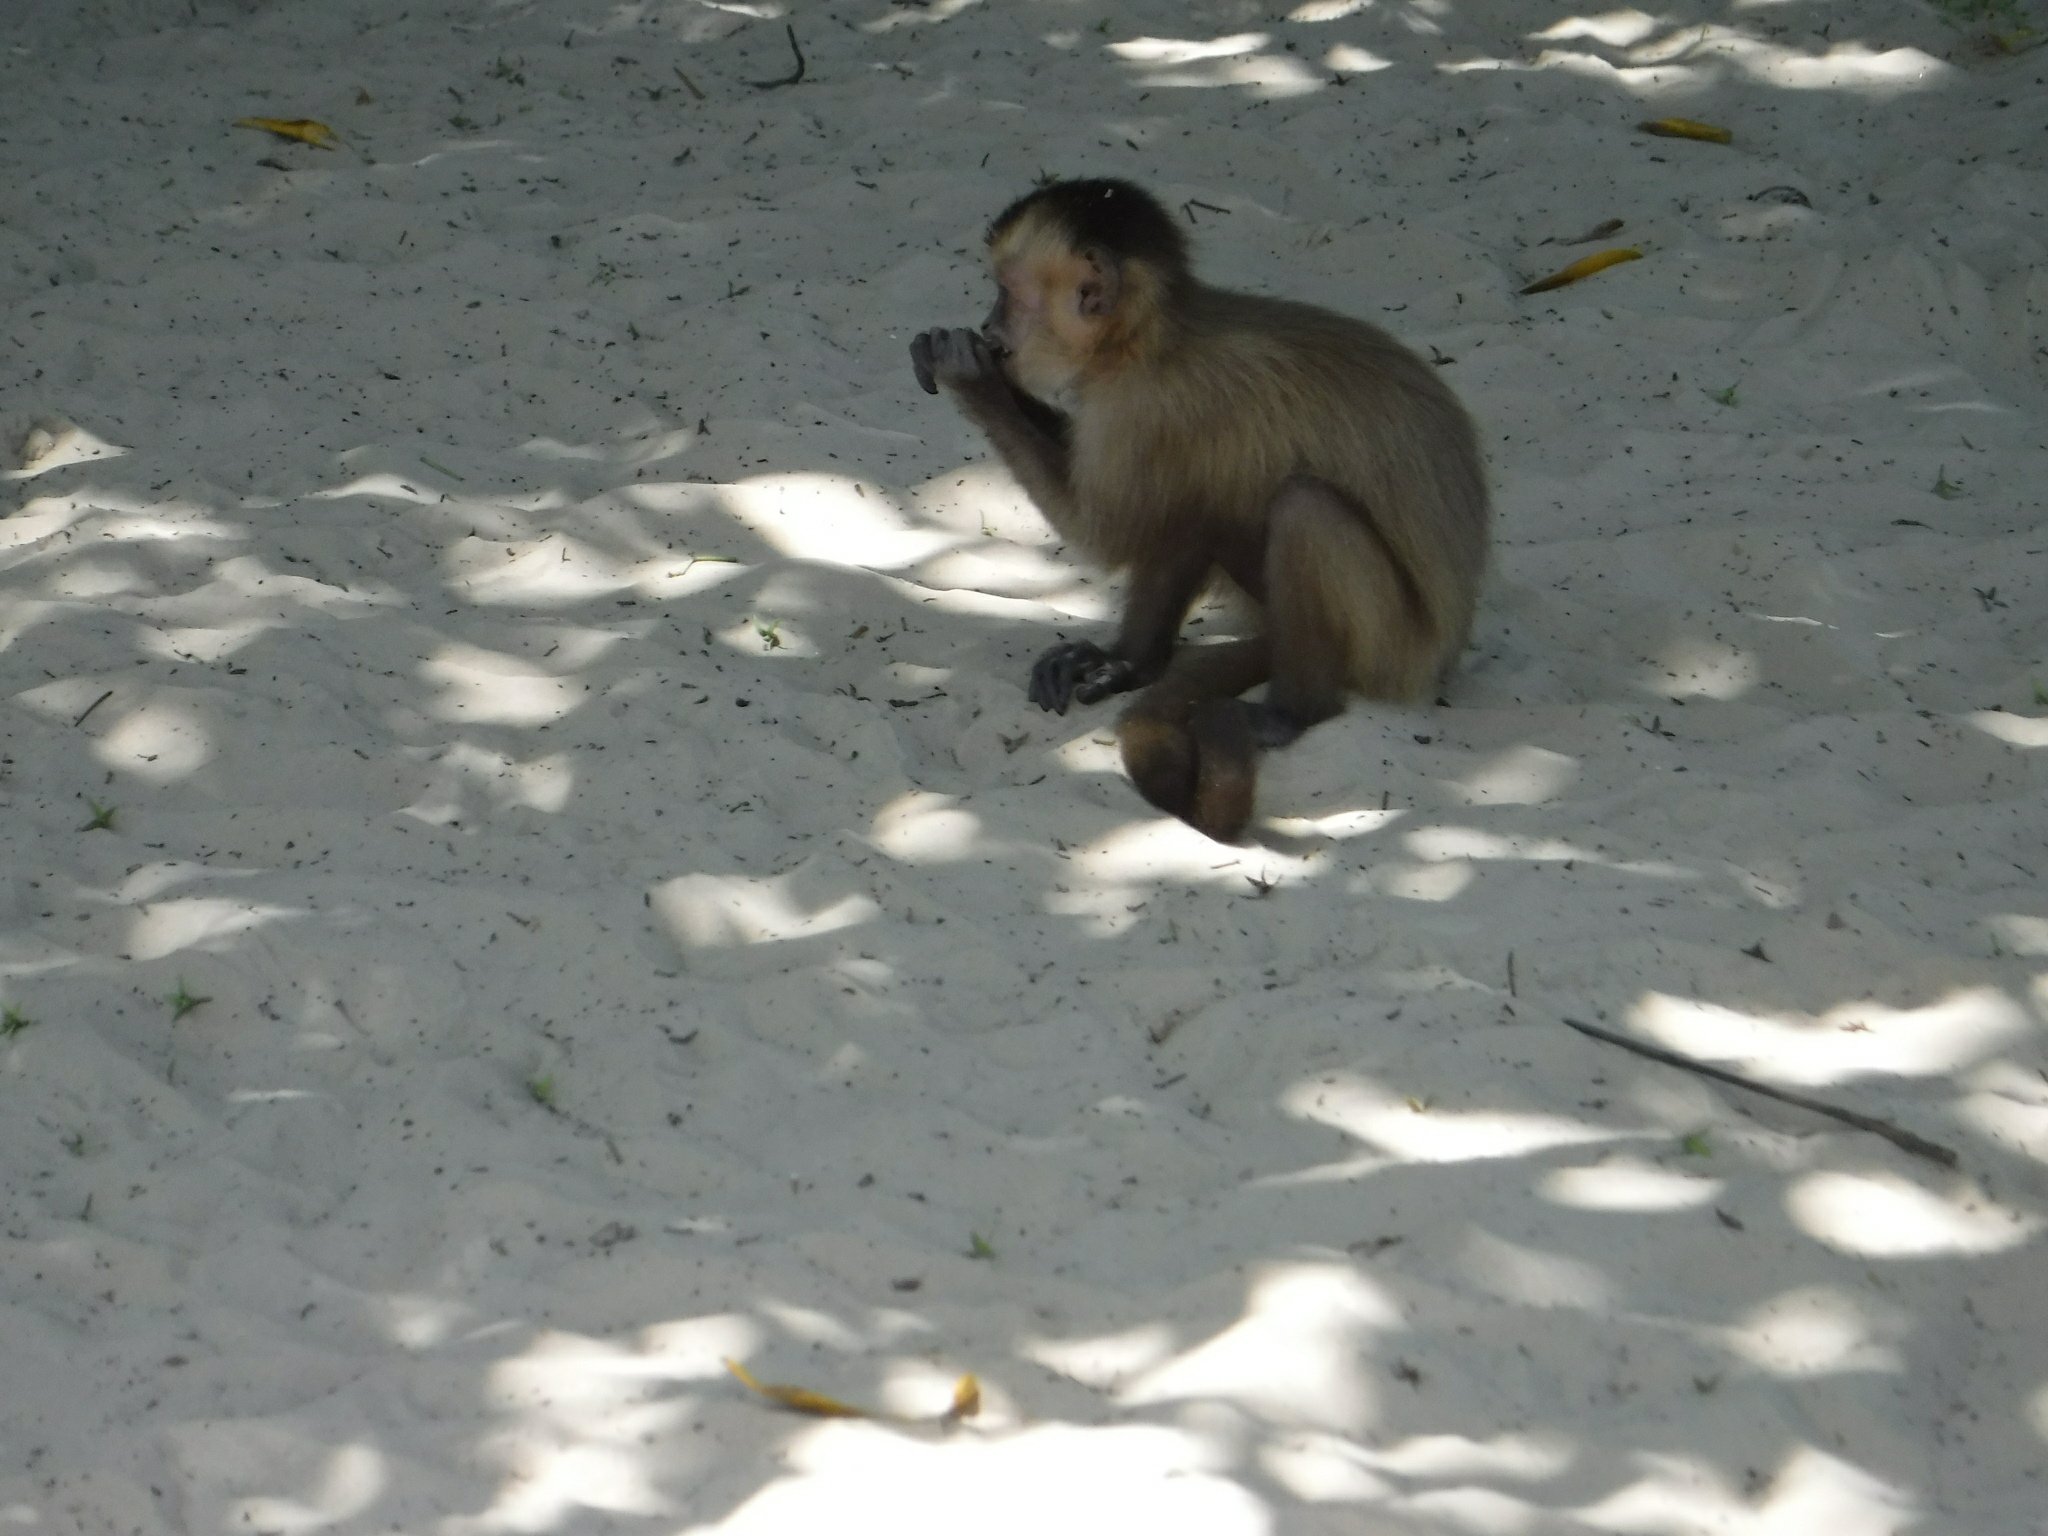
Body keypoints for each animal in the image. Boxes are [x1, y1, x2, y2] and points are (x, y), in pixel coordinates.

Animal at [910, 178, 1489, 842]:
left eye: (1007, 293)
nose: (988, 322)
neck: (1144, 343)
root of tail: (1442, 662)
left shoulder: (1146, 409)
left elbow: (1109, 532)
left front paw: (970, 377)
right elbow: (1166, 518)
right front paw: (1122, 662)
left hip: (1394, 652)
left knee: (1301, 509)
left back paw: (1294, 710)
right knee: (1199, 504)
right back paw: (1140, 662)